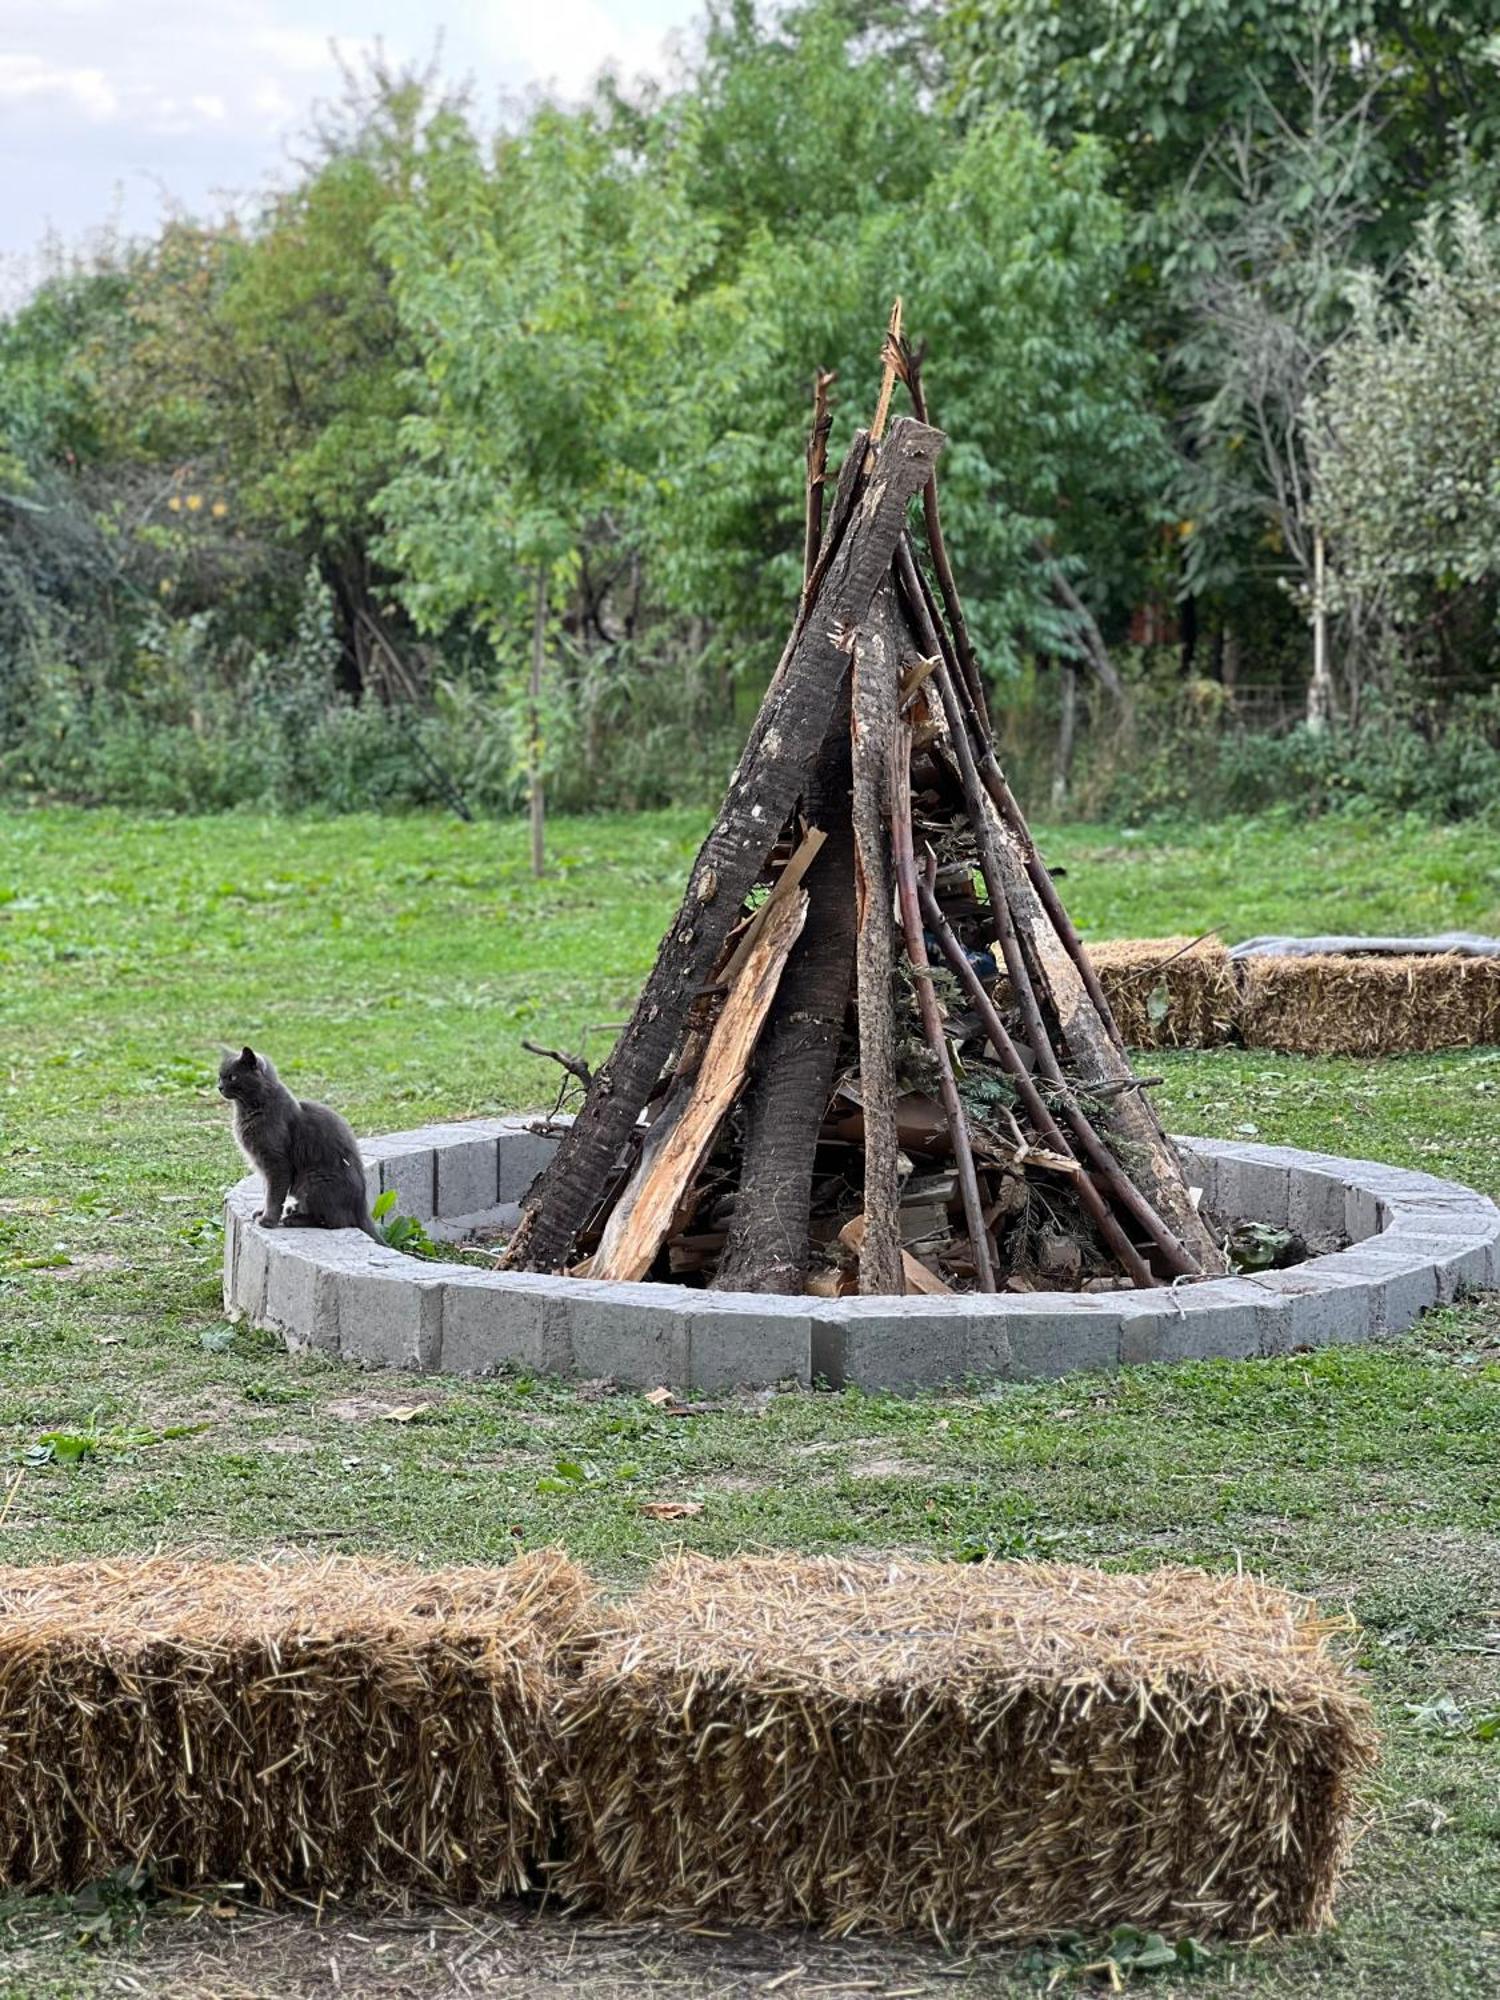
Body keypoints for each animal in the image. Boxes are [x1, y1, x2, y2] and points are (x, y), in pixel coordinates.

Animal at [217, 1048, 382, 1232]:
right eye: (219, 1076)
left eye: (232, 1077)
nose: (219, 1087)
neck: (250, 1109)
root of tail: (362, 1208)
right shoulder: (264, 1165)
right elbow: (266, 1190)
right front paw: (261, 1212)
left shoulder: (276, 1163)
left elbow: (273, 1195)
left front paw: (268, 1220)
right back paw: (293, 1210)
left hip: (312, 1180)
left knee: (334, 1221)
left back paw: (294, 1219)